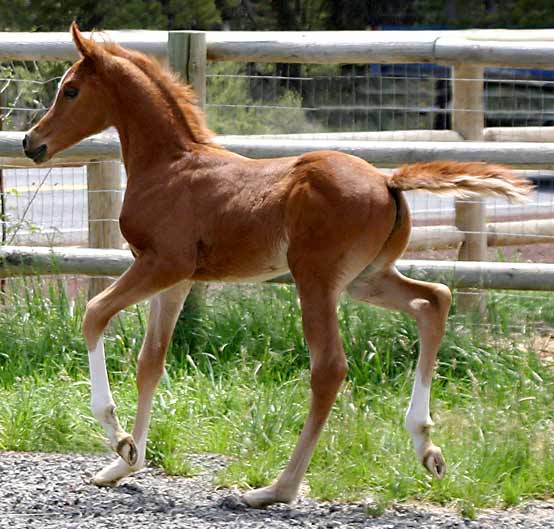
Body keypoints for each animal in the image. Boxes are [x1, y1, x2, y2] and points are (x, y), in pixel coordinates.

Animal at [23, 24, 528, 508]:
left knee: (329, 368)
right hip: (366, 279)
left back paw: (276, 490)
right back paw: (425, 446)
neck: (169, 165)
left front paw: (118, 437)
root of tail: (389, 181)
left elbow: (94, 315)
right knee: (433, 301)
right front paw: (124, 463)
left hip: (316, 280)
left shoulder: (162, 263)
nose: (32, 142)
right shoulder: (178, 279)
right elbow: (151, 360)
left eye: (70, 90)